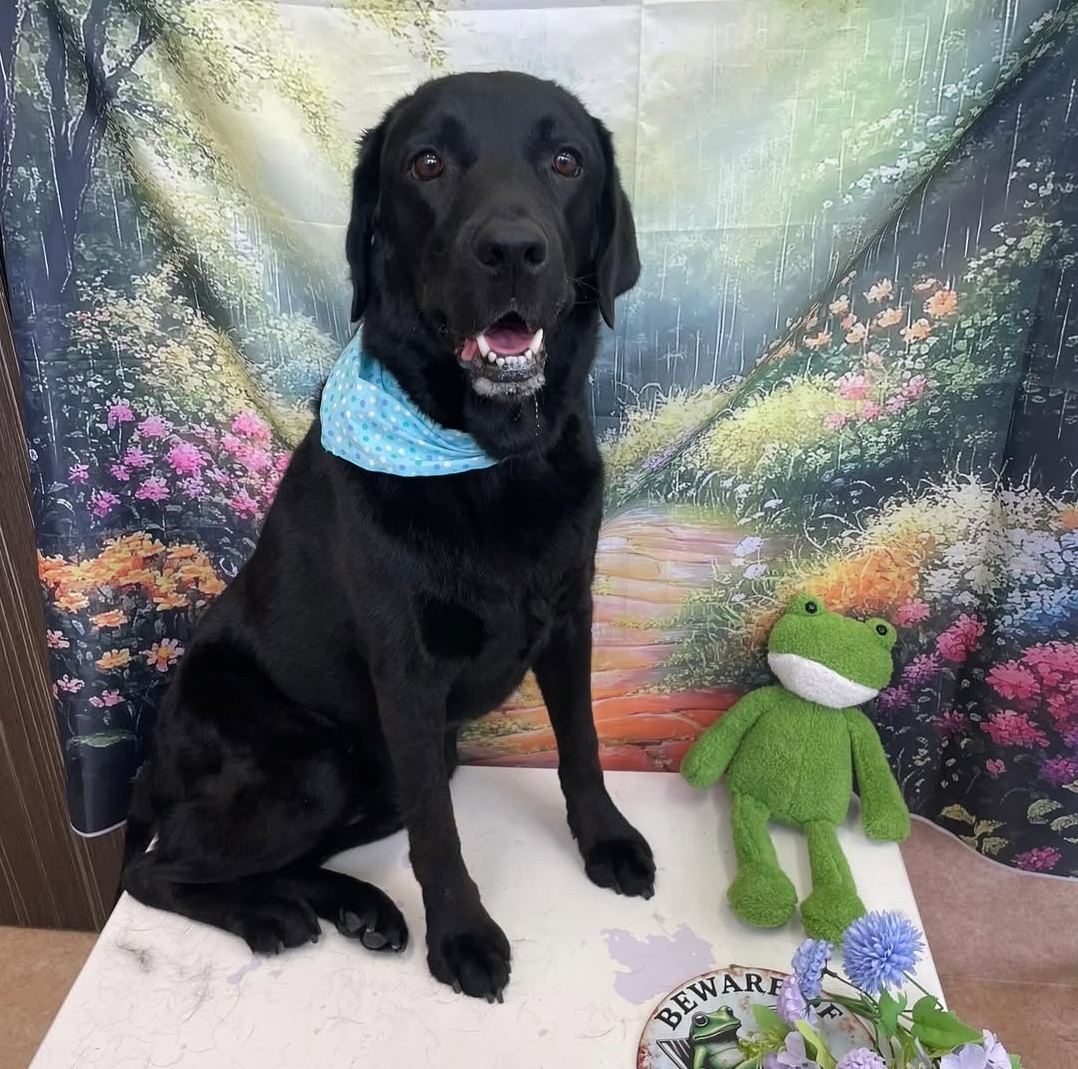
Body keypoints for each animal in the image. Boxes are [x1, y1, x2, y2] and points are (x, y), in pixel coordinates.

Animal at [121, 70, 654, 1003]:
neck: (492, 461)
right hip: (316, 762)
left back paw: (354, 905)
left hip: (391, 767)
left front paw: (605, 840)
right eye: (427, 163)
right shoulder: (406, 669)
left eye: (566, 161)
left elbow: (582, 743)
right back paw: (273, 916)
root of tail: (153, 766)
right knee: (154, 869)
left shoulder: (570, 613)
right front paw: (464, 935)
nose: (511, 250)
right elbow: (439, 832)